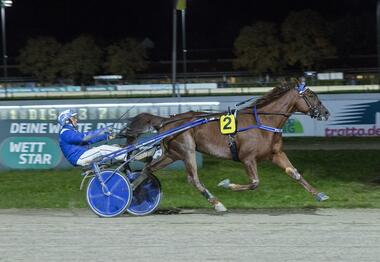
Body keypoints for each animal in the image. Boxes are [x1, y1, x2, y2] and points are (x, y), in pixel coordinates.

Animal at [121, 83, 330, 212]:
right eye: (311, 95)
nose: (326, 112)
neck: (264, 121)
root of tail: (167, 120)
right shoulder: (247, 158)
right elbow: (255, 183)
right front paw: (226, 184)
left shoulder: (276, 154)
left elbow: (294, 173)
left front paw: (319, 194)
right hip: (186, 150)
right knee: (193, 179)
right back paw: (217, 203)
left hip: (173, 154)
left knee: (148, 169)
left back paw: (131, 192)